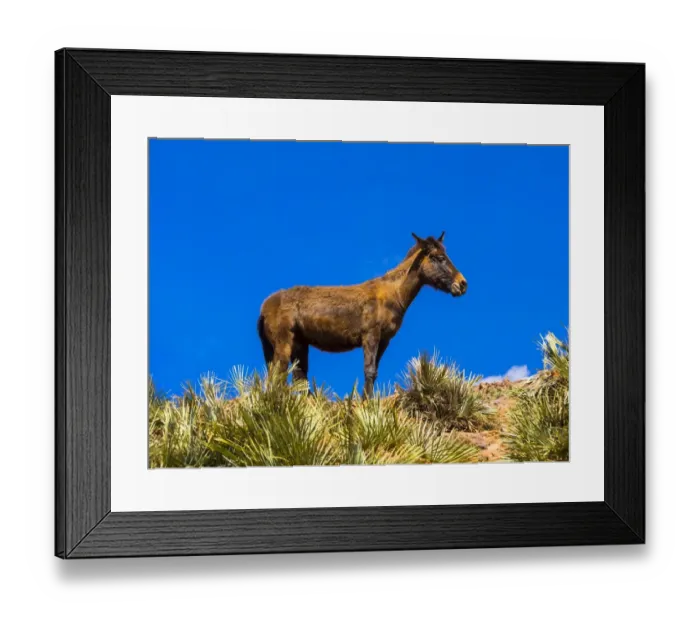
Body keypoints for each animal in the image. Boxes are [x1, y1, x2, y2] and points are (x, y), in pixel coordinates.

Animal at [257, 232, 468, 396]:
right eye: (439, 258)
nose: (463, 284)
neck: (393, 295)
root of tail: (264, 308)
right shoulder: (370, 335)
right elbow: (369, 370)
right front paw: (366, 403)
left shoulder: (384, 340)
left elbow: (374, 372)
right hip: (283, 343)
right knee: (278, 378)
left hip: (300, 345)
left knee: (300, 379)